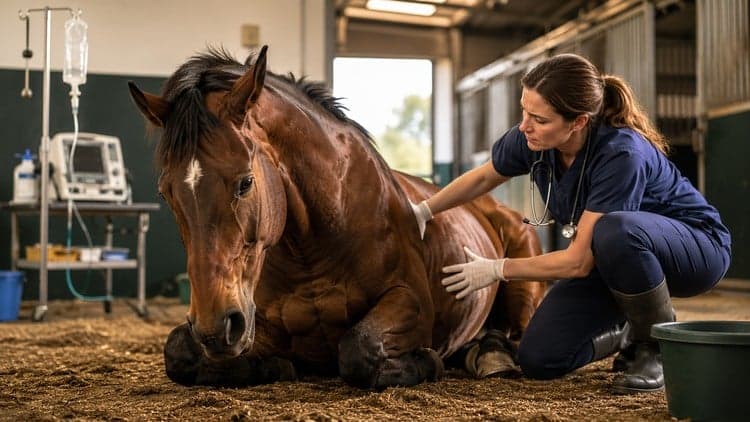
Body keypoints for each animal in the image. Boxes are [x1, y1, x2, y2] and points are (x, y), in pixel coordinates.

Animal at [128, 46, 547, 389]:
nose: (215, 327)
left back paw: (491, 355)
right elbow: (178, 352)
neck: (313, 246)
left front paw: (427, 360)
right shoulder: (253, 320)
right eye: (166, 192)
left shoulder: (408, 300)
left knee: (514, 332)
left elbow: (358, 350)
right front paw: (277, 365)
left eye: (245, 182)